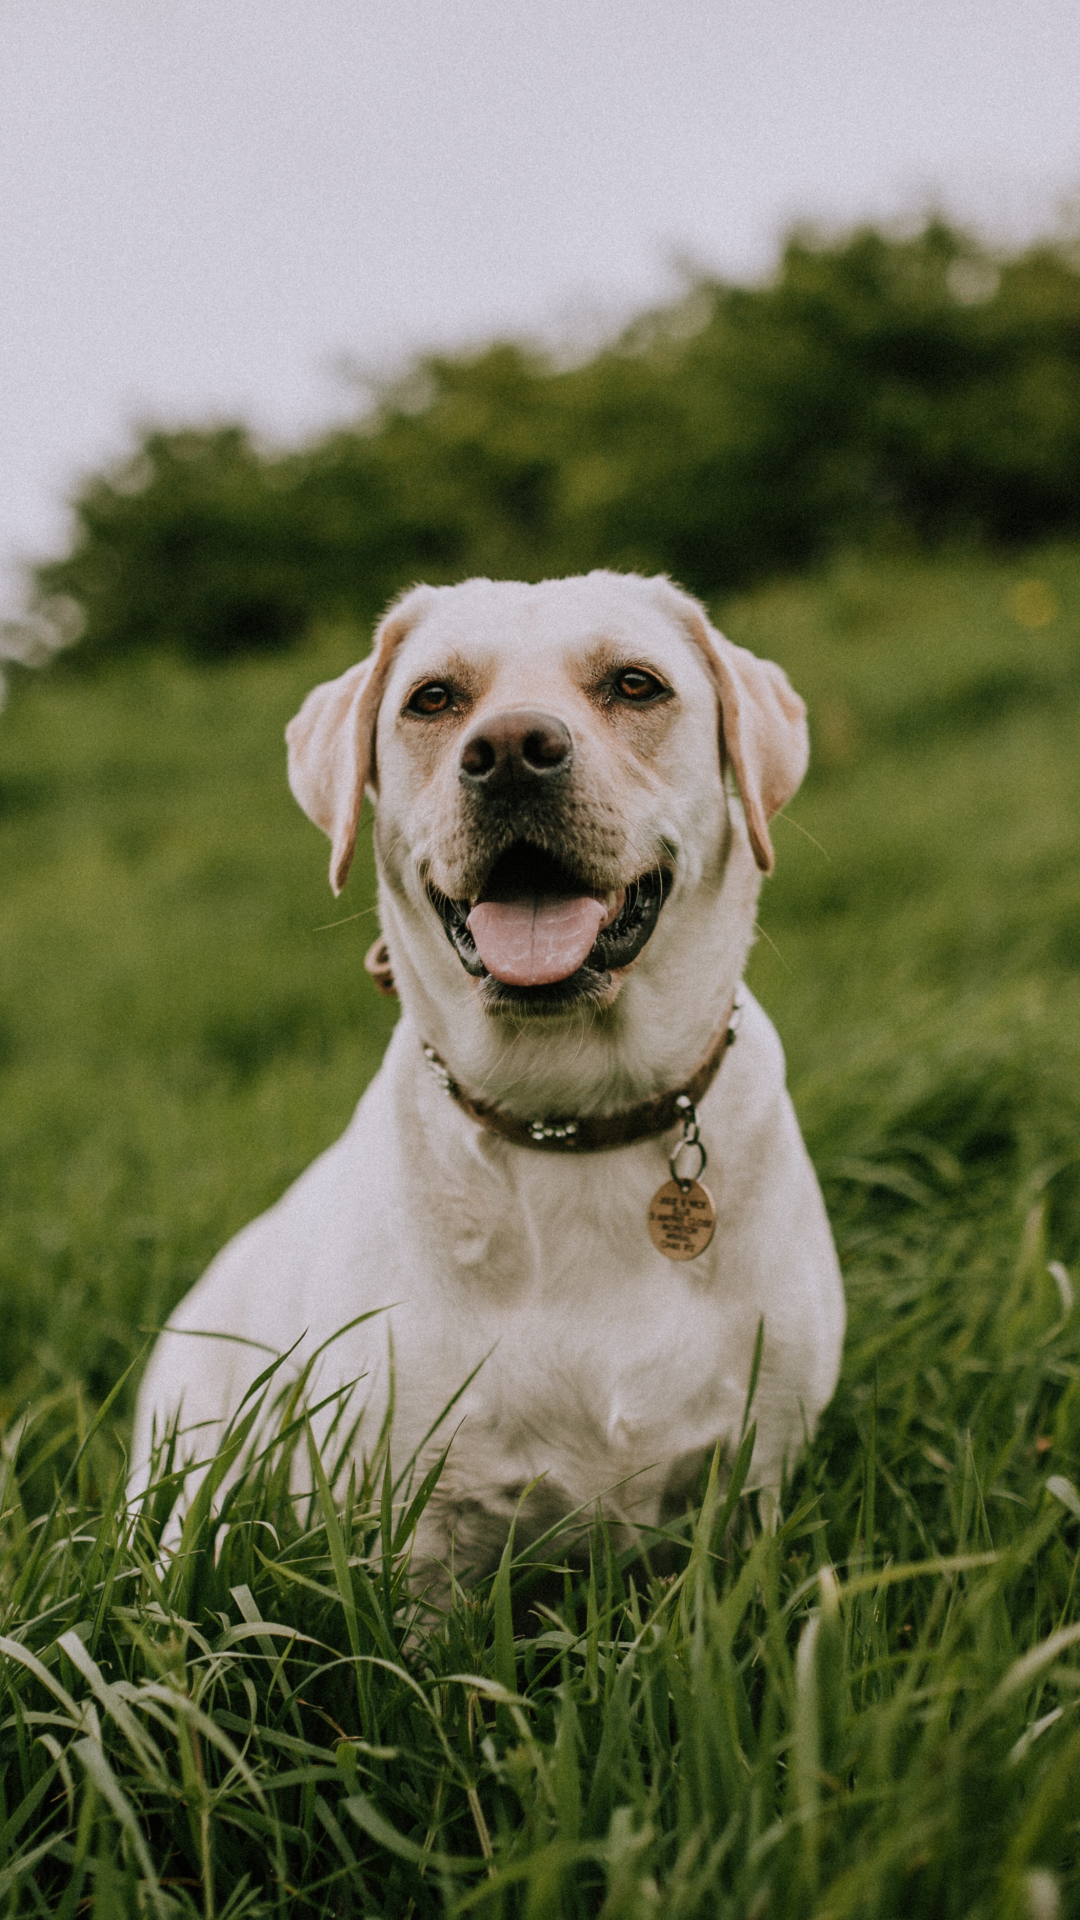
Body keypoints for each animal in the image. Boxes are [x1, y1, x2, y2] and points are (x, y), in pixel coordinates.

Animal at [132, 568, 841, 1589]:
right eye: (433, 699)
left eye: (636, 685)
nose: (509, 752)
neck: (571, 1120)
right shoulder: (411, 1521)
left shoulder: (759, 1474)